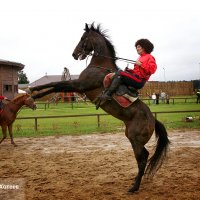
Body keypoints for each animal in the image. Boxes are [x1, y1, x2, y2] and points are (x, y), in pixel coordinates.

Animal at [27, 23, 170, 192]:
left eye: (83, 38)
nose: (74, 54)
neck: (99, 65)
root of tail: (153, 120)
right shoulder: (78, 86)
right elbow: (55, 86)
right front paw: (33, 92)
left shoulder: (80, 85)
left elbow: (55, 84)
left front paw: (32, 92)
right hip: (132, 138)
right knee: (145, 156)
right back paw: (135, 183)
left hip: (135, 140)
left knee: (141, 160)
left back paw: (134, 187)